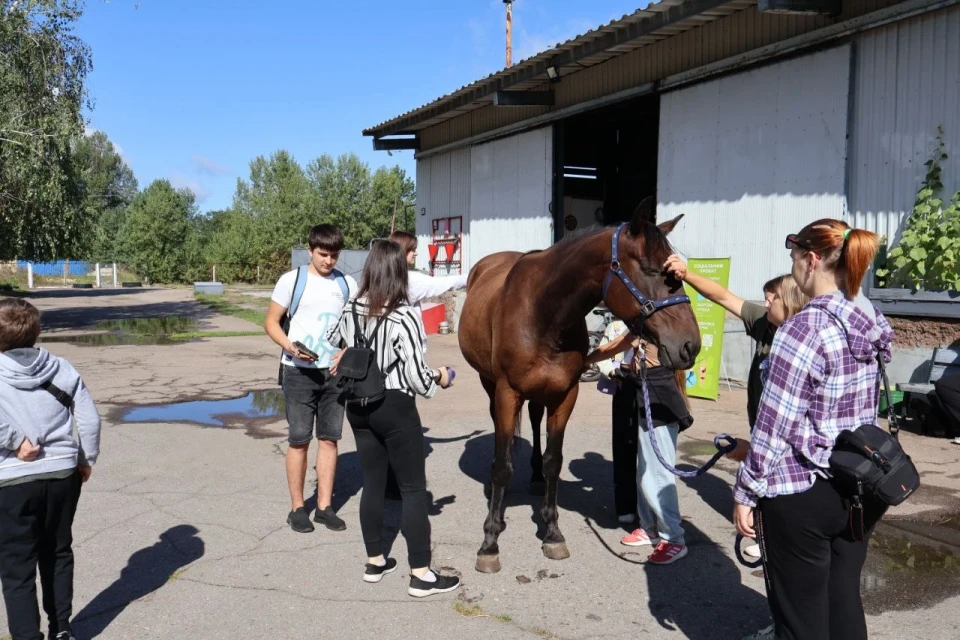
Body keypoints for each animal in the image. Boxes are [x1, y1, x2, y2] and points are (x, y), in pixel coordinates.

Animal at [458, 198, 696, 572]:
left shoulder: (565, 395)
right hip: (489, 383)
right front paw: (490, 540)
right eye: (652, 270)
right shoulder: (507, 392)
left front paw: (552, 532)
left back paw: (535, 478)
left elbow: (554, 461)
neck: (543, 313)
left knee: (535, 420)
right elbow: (502, 467)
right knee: (501, 428)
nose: (690, 345)